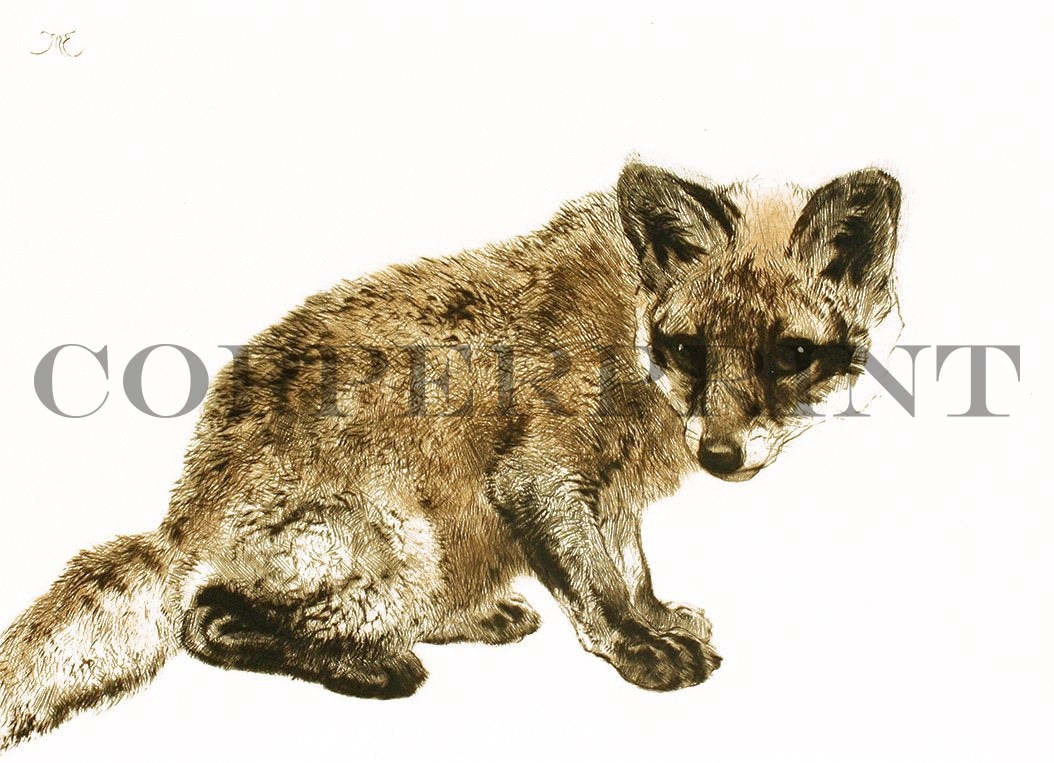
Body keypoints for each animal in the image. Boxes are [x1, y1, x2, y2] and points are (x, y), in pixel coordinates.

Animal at [0, 160, 901, 750]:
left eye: (791, 355)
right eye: (689, 348)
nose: (720, 454)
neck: (629, 332)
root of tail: (184, 516)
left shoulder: (609, 493)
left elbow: (631, 570)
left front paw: (656, 618)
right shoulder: (539, 477)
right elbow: (599, 587)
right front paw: (637, 649)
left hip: (449, 548)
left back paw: (469, 618)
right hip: (405, 545)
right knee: (207, 620)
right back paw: (369, 666)